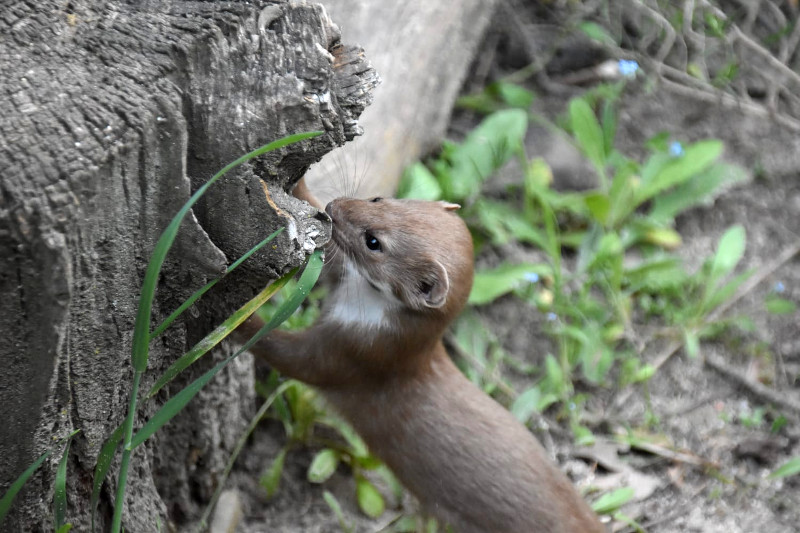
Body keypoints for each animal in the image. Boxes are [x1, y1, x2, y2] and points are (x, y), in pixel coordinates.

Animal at [241, 191, 604, 532]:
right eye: (378, 199)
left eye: (373, 242)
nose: (334, 207)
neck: (357, 308)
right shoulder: (344, 282)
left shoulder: (358, 354)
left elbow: (293, 358)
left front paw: (239, 323)